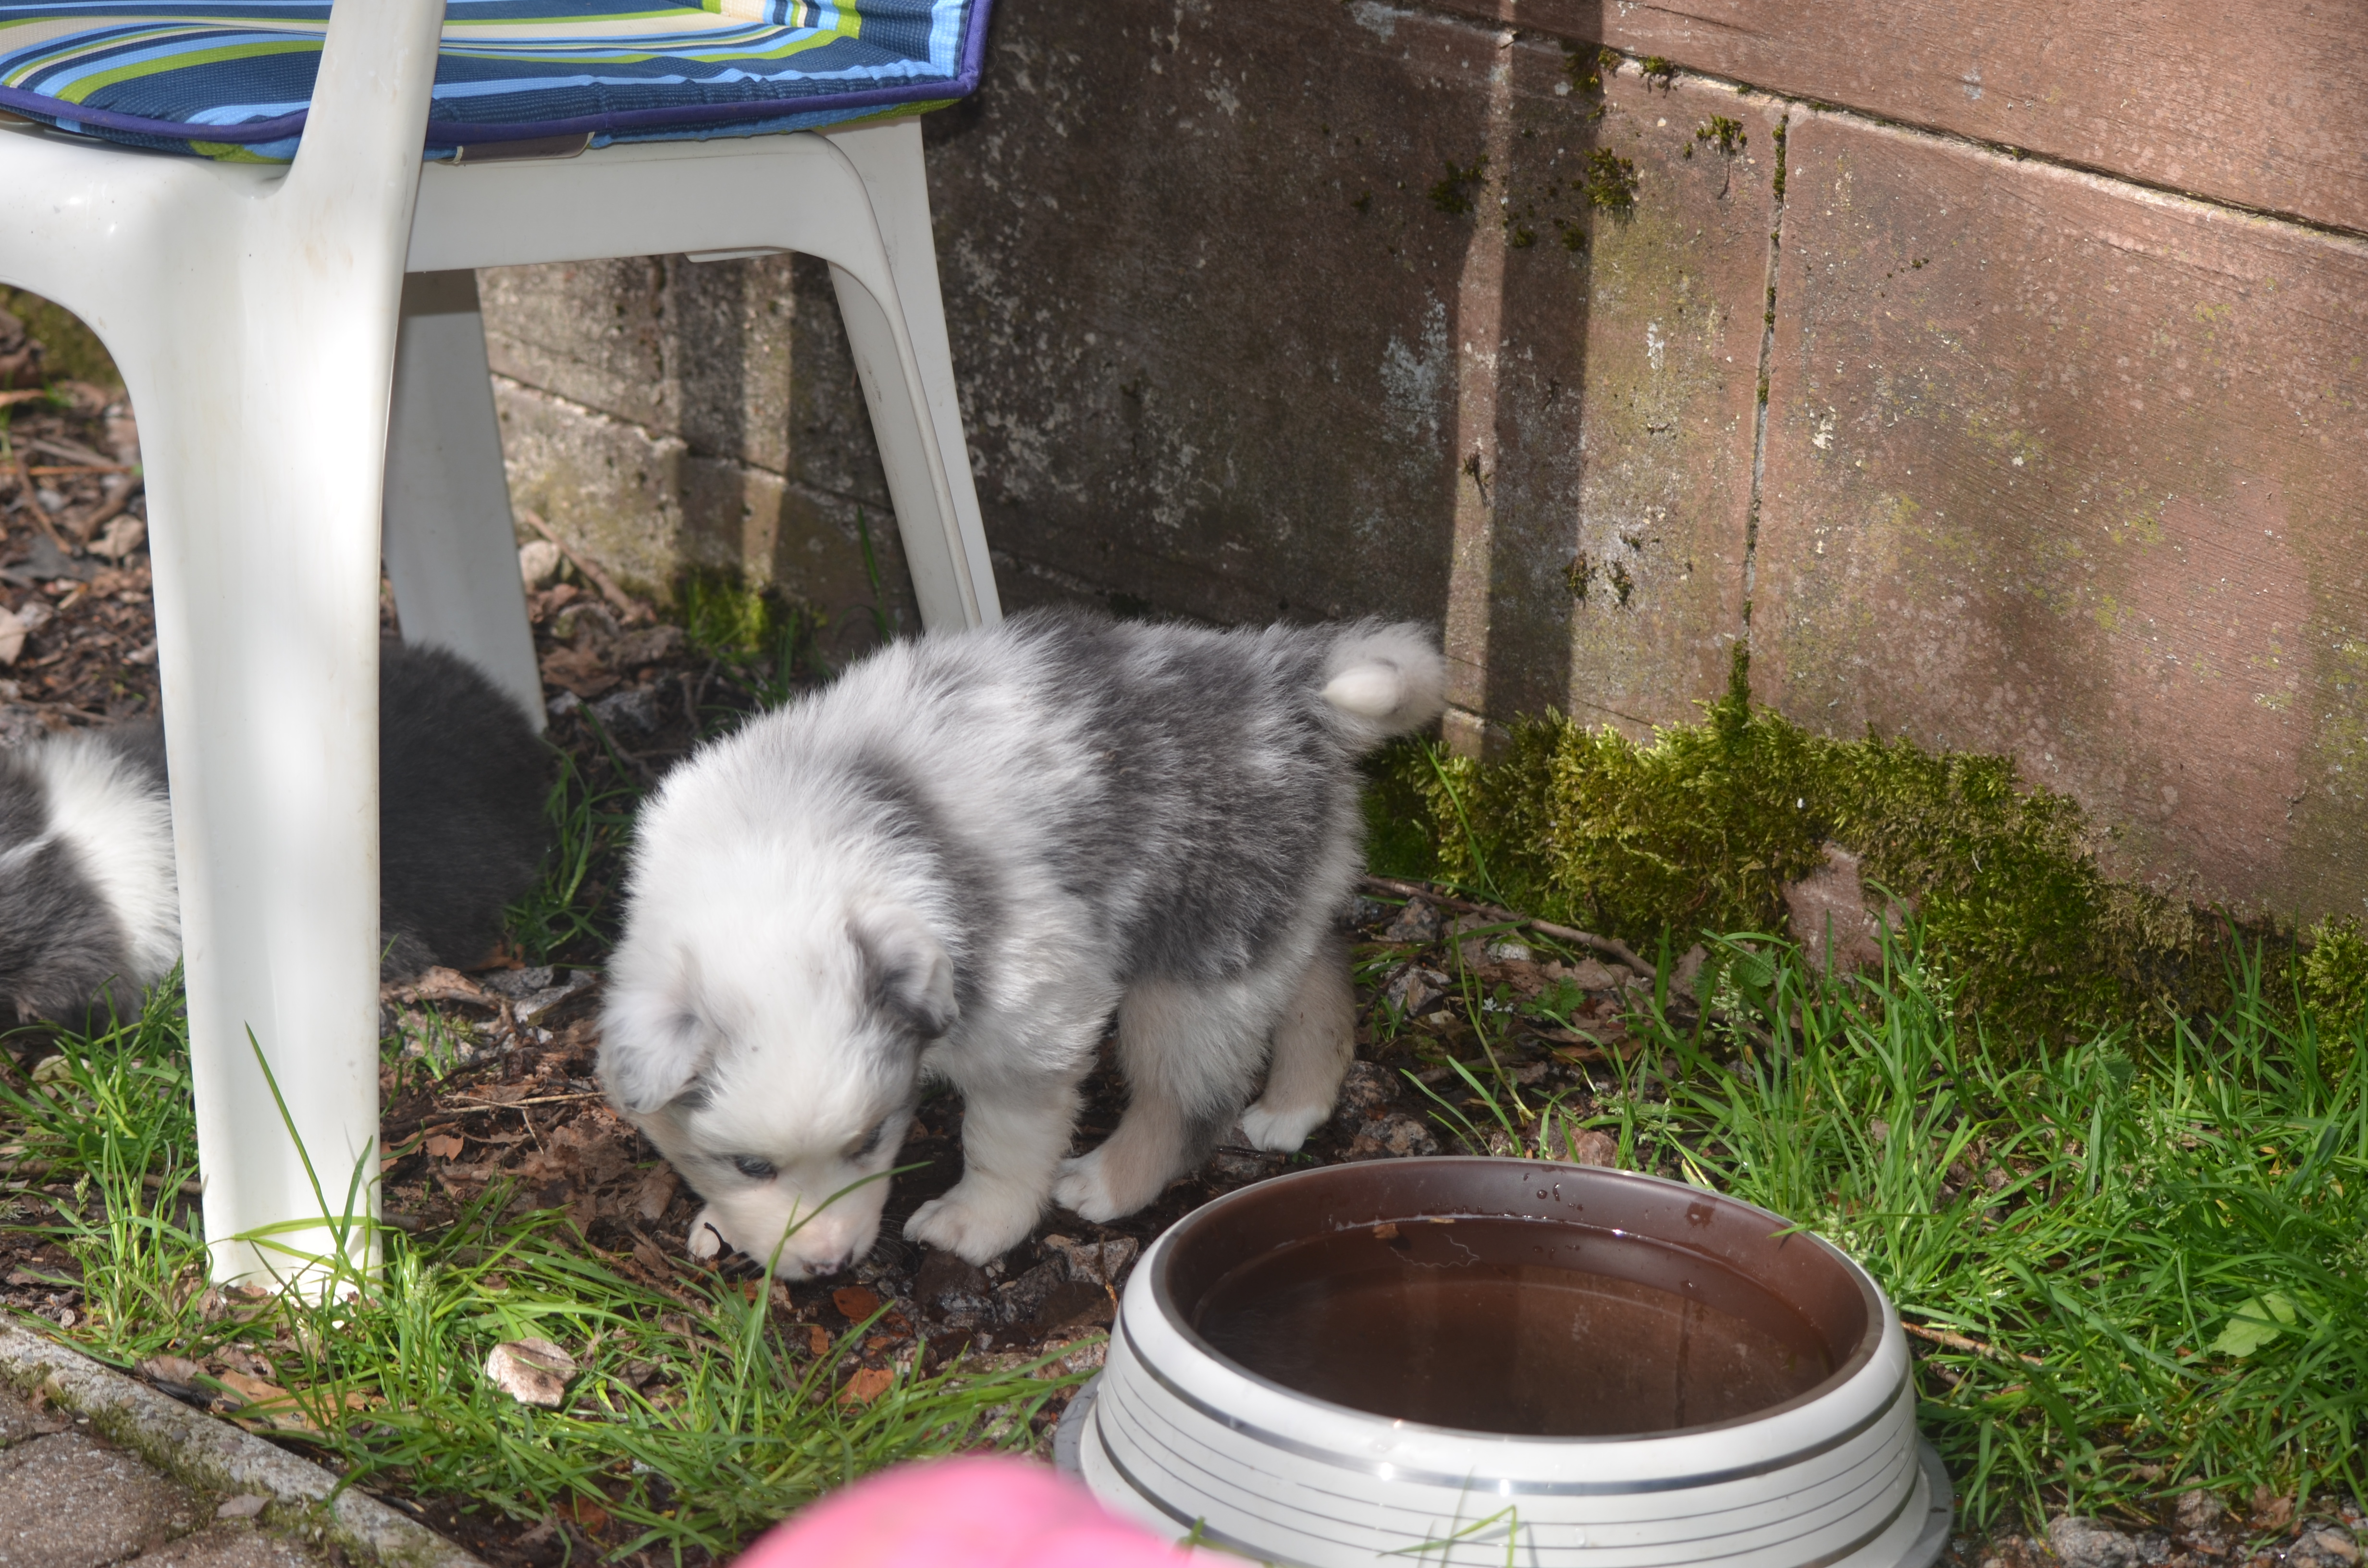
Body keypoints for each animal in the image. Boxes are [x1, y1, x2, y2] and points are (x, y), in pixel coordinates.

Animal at [599, 609, 1446, 1277]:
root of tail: (1282, 675)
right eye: (751, 1165)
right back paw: (1294, 1108)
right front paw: (721, 1222)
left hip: (1192, 964)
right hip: (1267, 903)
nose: (831, 1265)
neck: (775, 862)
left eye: (872, 1141)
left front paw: (975, 1224)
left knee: (1186, 1098)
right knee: (1319, 970)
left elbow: (1001, 1138)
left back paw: (1108, 1182)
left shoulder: (1035, 1013)